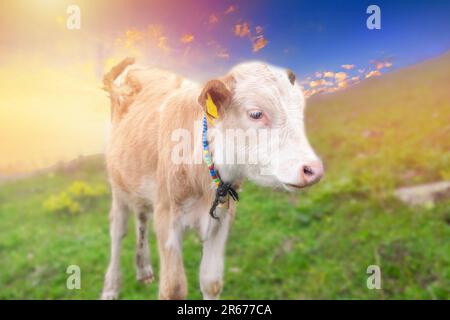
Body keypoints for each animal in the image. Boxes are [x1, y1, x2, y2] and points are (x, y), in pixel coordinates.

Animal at [101, 58, 324, 300]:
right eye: (256, 113)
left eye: (300, 109)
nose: (313, 169)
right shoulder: (167, 215)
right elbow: (173, 288)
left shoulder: (222, 218)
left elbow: (211, 282)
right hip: (117, 185)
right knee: (118, 230)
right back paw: (111, 287)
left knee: (141, 216)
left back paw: (143, 270)